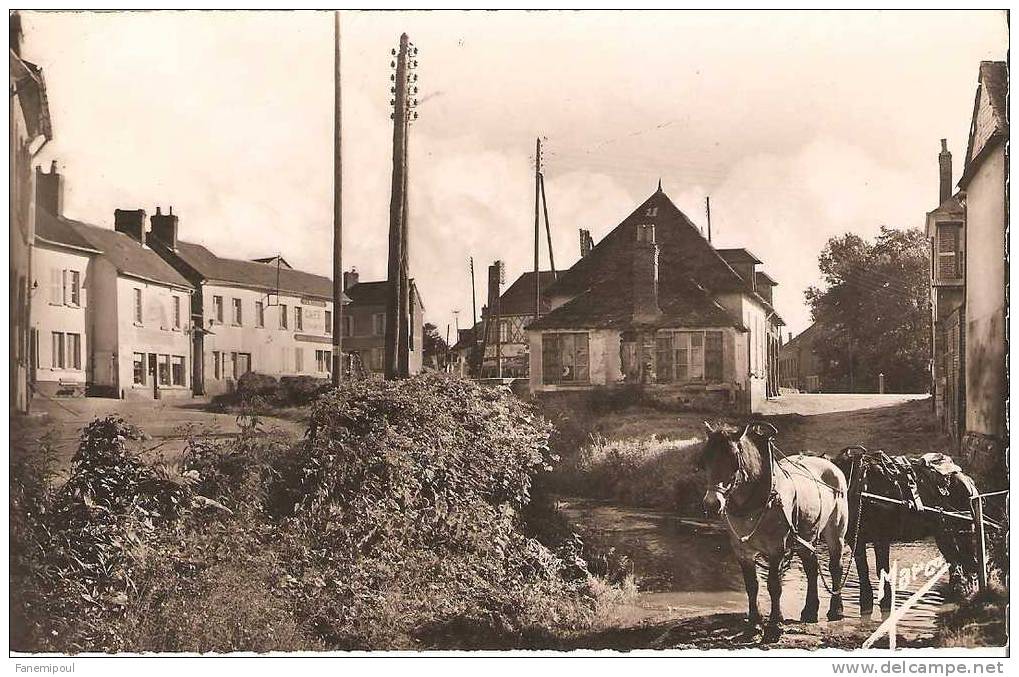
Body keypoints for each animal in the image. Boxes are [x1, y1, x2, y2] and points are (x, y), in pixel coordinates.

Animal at [701, 424, 851, 640]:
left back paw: (836, 610)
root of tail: (831, 465)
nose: (712, 504)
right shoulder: (742, 551)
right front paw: (754, 625)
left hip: (835, 532)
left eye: (733, 459)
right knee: (811, 568)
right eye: (705, 460)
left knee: (835, 567)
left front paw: (774, 626)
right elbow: (752, 586)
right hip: (805, 538)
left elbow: (774, 585)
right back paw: (810, 610)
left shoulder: (776, 549)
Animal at [835, 448, 978, 611]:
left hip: (965, 531)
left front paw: (886, 602)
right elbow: (863, 571)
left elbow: (882, 570)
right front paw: (866, 603)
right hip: (943, 534)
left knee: (970, 563)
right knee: (956, 562)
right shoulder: (856, 540)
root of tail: (969, 481)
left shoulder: (881, 538)